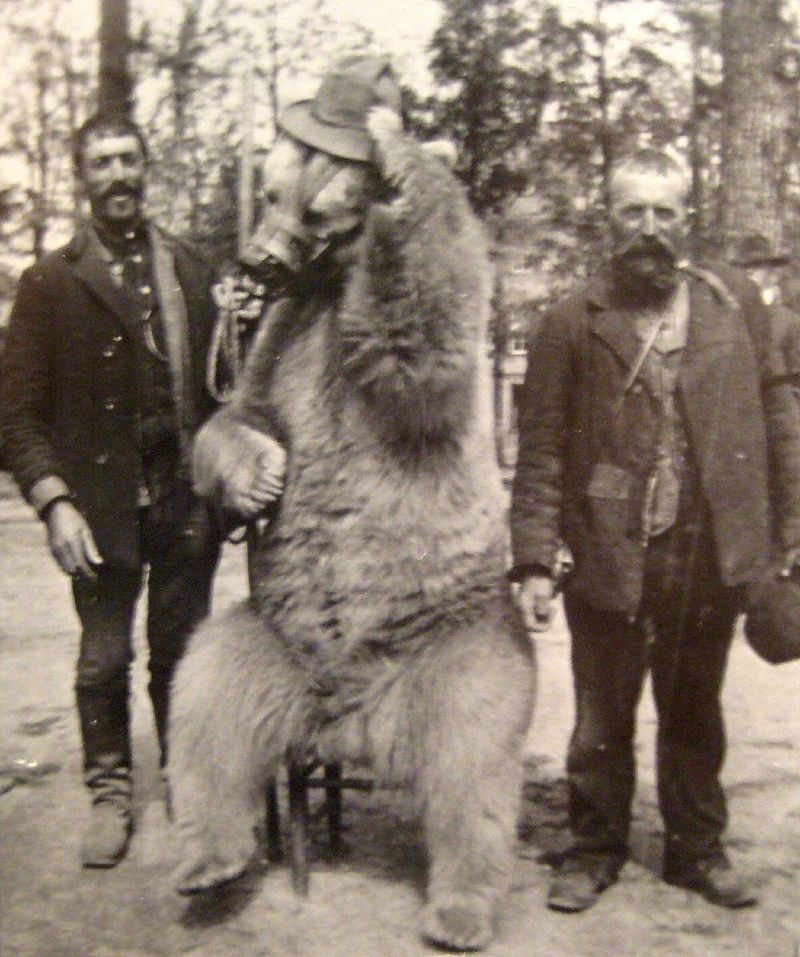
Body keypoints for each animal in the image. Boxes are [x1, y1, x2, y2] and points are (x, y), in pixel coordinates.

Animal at [165, 58, 536, 948]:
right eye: (269, 189)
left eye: (321, 203)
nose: (256, 259)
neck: (331, 279)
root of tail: (346, 721)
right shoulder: (284, 331)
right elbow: (244, 409)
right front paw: (260, 476)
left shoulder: (392, 327)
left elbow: (422, 339)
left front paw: (396, 147)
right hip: (266, 636)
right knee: (204, 699)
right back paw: (209, 861)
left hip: (465, 640)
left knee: (475, 757)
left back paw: (460, 909)